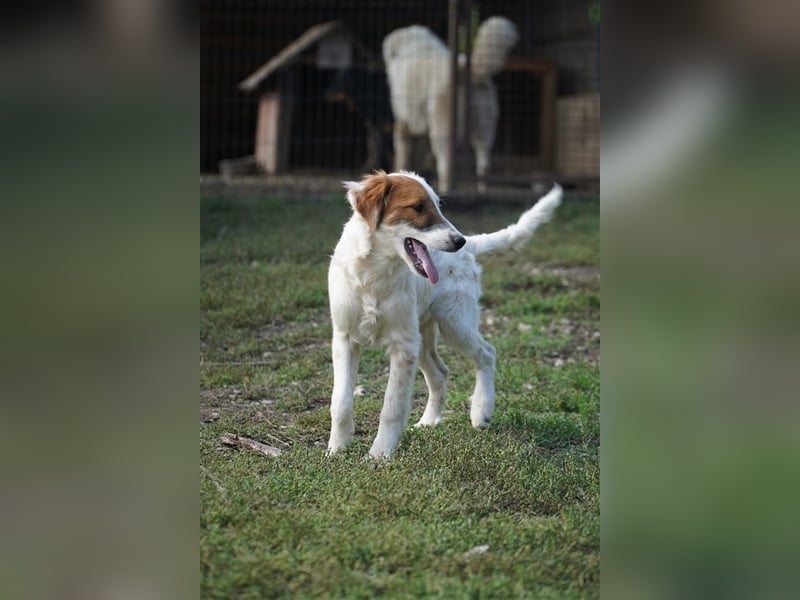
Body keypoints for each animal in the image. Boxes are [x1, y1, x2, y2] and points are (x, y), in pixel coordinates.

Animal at [328, 171, 560, 458]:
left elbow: (392, 407)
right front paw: (337, 448)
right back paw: (429, 421)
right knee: (440, 373)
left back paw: (481, 410)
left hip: (454, 322)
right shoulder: (345, 338)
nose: (459, 240)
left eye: (438, 205)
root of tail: (471, 247)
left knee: (486, 353)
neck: (374, 273)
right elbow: (341, 401)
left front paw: (379, 455)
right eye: (418, 207)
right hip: (423, 337)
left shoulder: (403, 345)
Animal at [382, 17, 520, 192]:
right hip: (484, 131)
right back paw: (482, 189)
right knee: (484, 164)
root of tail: (464, 69)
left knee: (445, 166)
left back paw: (444, 190)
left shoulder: (403, 122)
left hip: (442, 131)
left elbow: (403, 155)